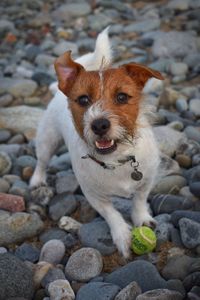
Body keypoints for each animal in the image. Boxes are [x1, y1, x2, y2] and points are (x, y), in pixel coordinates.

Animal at [30, 28, 164, 258]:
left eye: (122, 97)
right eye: (83, 100)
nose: (99, 124)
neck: (115, 160)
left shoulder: (147, 180)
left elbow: (139, 200)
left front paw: (142, 218)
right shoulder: (94, 196)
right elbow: (111, 214)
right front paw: (122, 236)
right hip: (48, 139)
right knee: (42, 161)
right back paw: (37, 180)